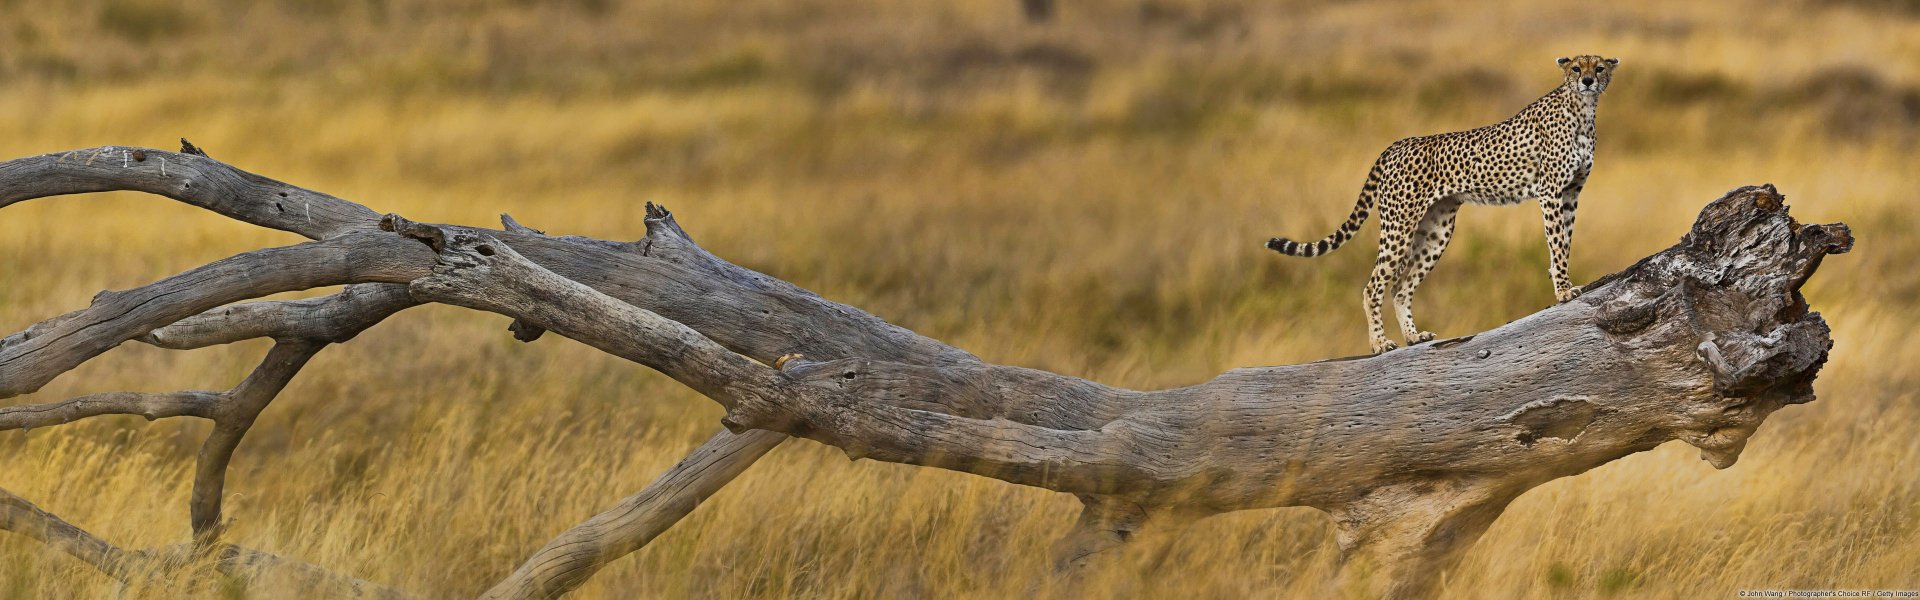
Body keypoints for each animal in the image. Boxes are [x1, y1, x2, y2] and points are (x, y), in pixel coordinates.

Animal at [1266, 55, 1619, 354]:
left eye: (1599, 67)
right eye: (1577, 68)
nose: (1588, 80)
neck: (1582, 110)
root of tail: (1399, 143)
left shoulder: (1571, 194)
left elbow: (1565, 241)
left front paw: (1562, 282)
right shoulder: (1551, 192)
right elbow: (1557, 243)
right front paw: (1563, 290)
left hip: (1437, 230)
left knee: (1401, 287)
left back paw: (1413, 337)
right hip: (1399, 226)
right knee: (1374, 286)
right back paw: (1380, 344)